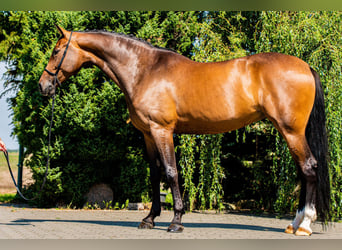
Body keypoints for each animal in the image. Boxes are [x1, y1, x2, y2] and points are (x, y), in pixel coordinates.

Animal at [38, 26, 330, 235]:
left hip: (291, 131)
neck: (145, 70)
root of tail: (306, 66)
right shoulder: (147, 134)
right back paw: (295, 223)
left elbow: (171, 172)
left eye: (56, 51)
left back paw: (305, 225)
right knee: (303, 172)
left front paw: (176, 220)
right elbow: (155, 175)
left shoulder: (162, 130)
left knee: (309, 168)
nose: (43, 86)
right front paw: (149, 219)